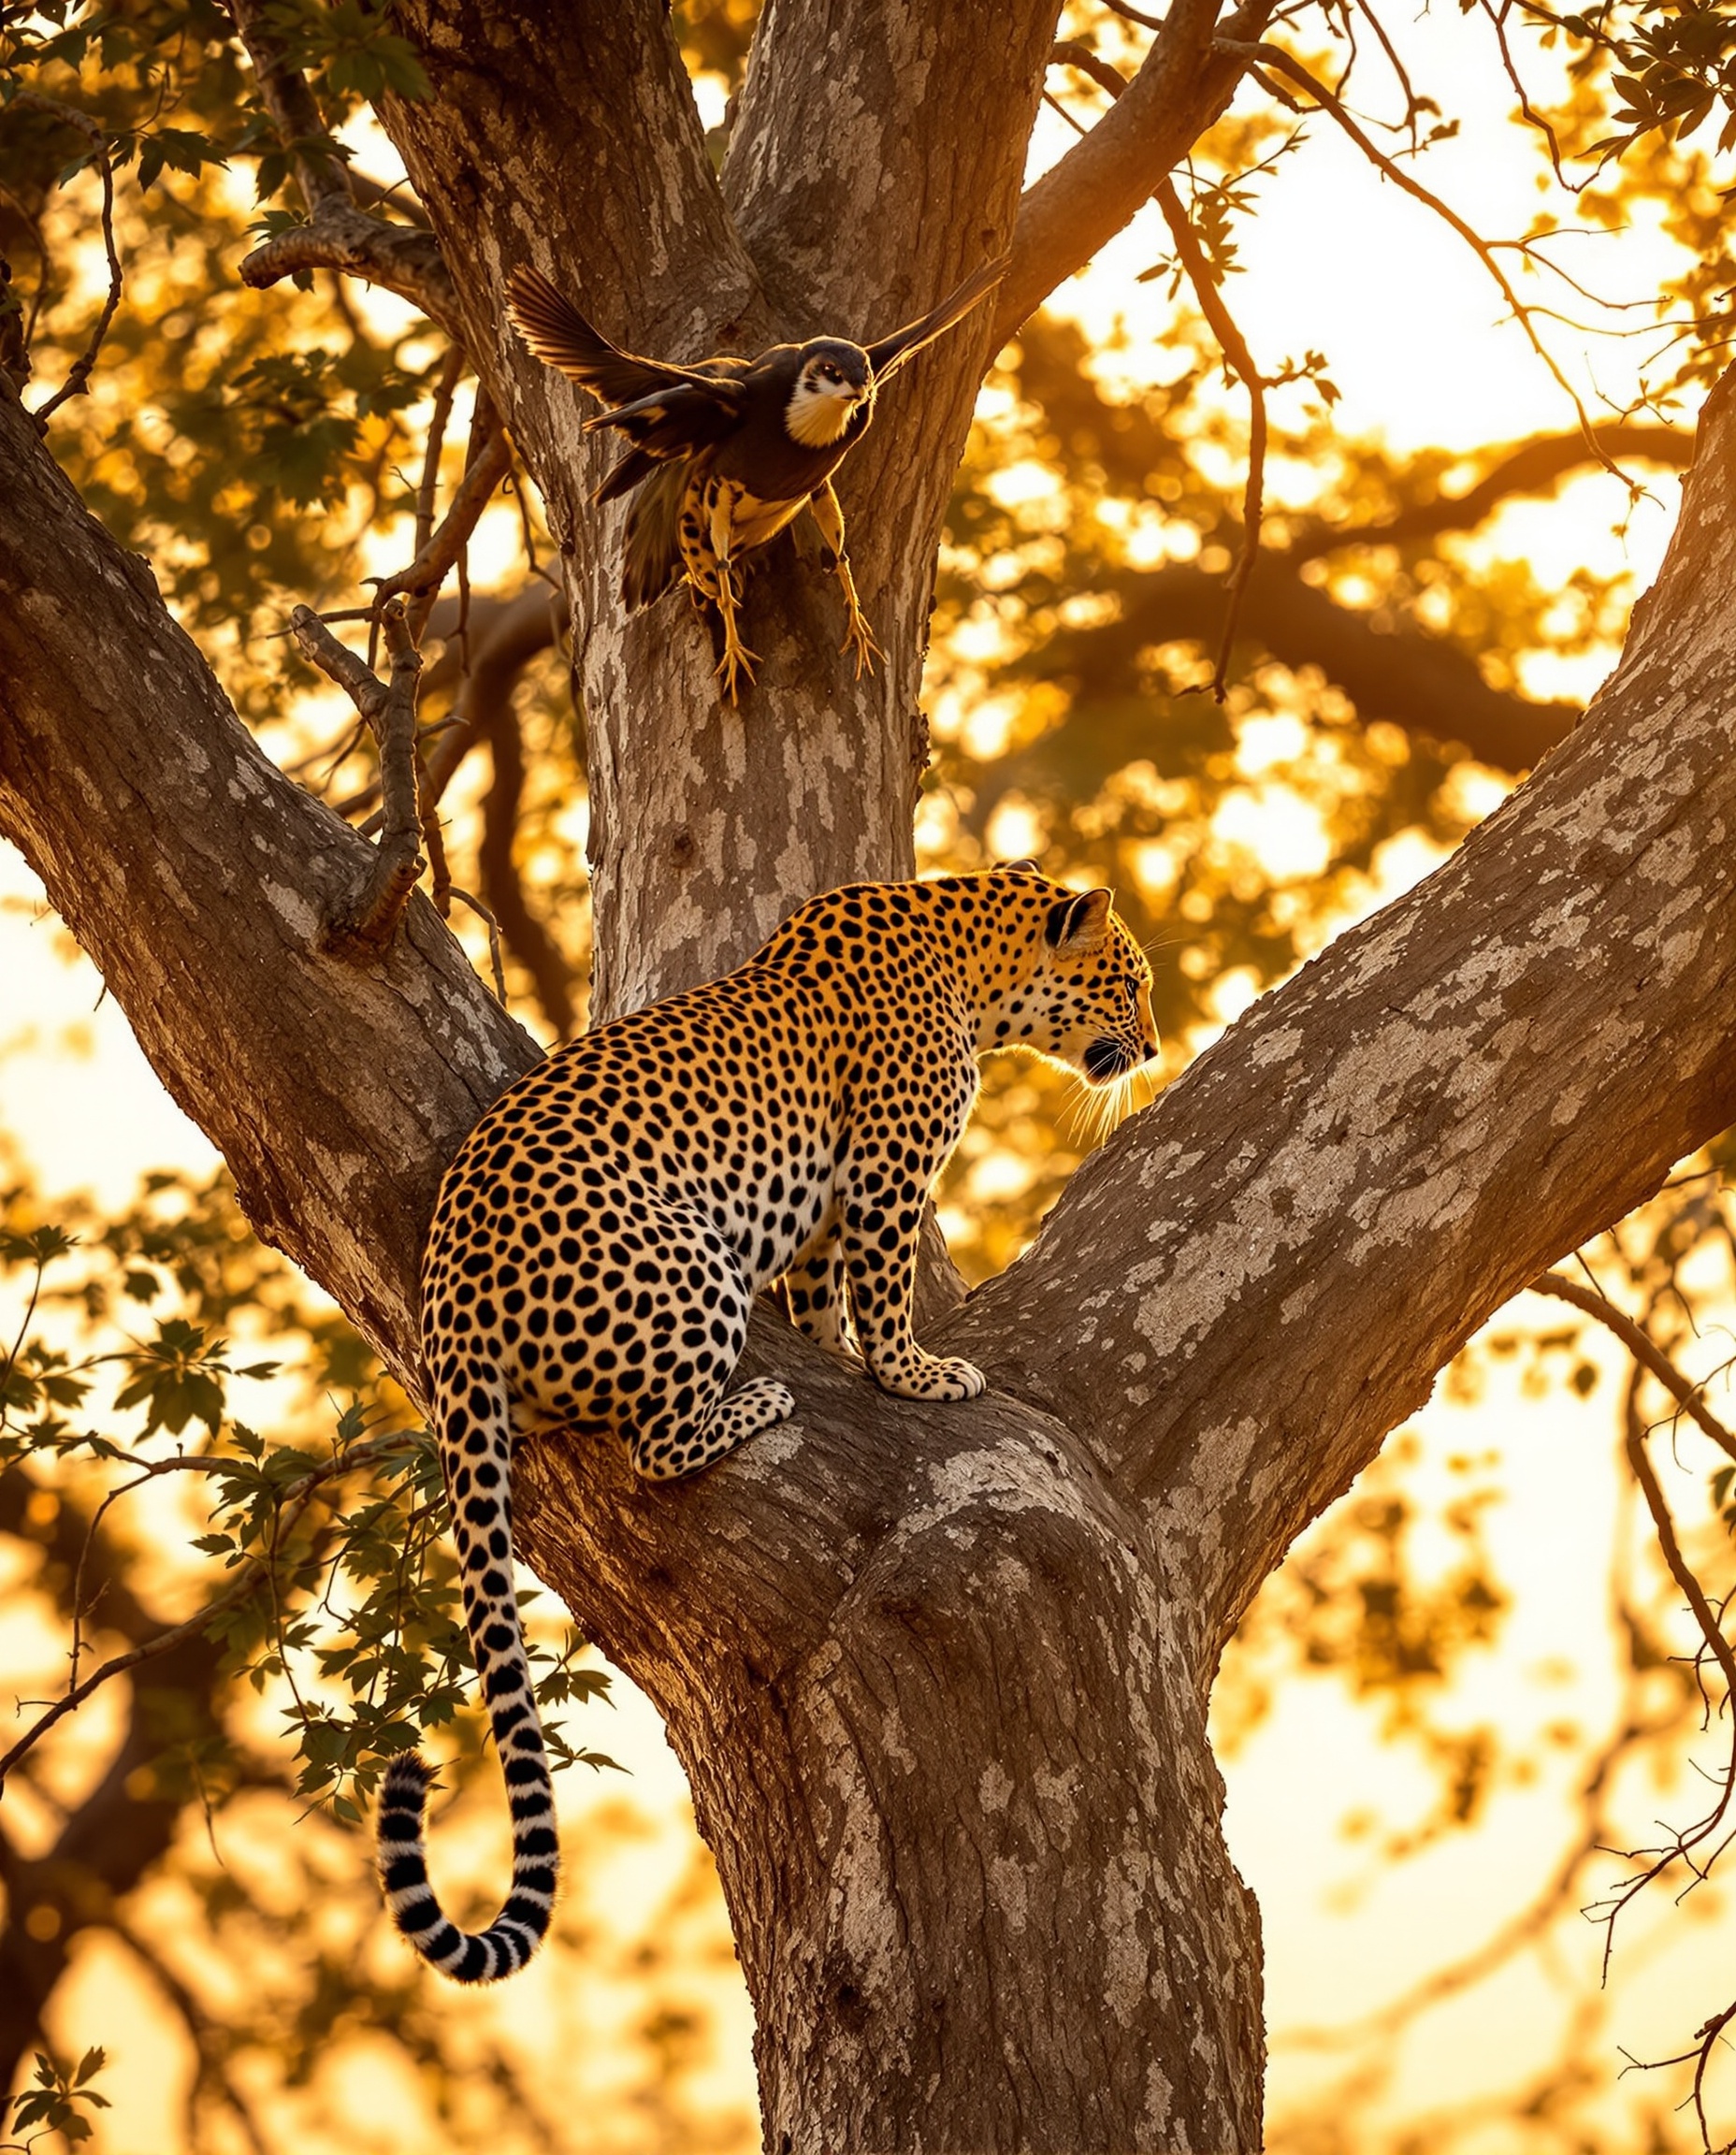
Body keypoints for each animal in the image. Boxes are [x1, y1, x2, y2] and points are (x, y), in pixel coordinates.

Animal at [375, 865, 1158, 1984]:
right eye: (1126, 984)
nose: (1153, 1049)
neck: (968, 958)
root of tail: (451, 1308)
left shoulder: (829, 1211)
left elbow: (823, 1294)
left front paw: (841, 1354)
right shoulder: (884, 1178)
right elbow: (881, 1293)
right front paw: (916, 1374)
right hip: (691, 1261)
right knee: (652, 1444)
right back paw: (756, 1401)